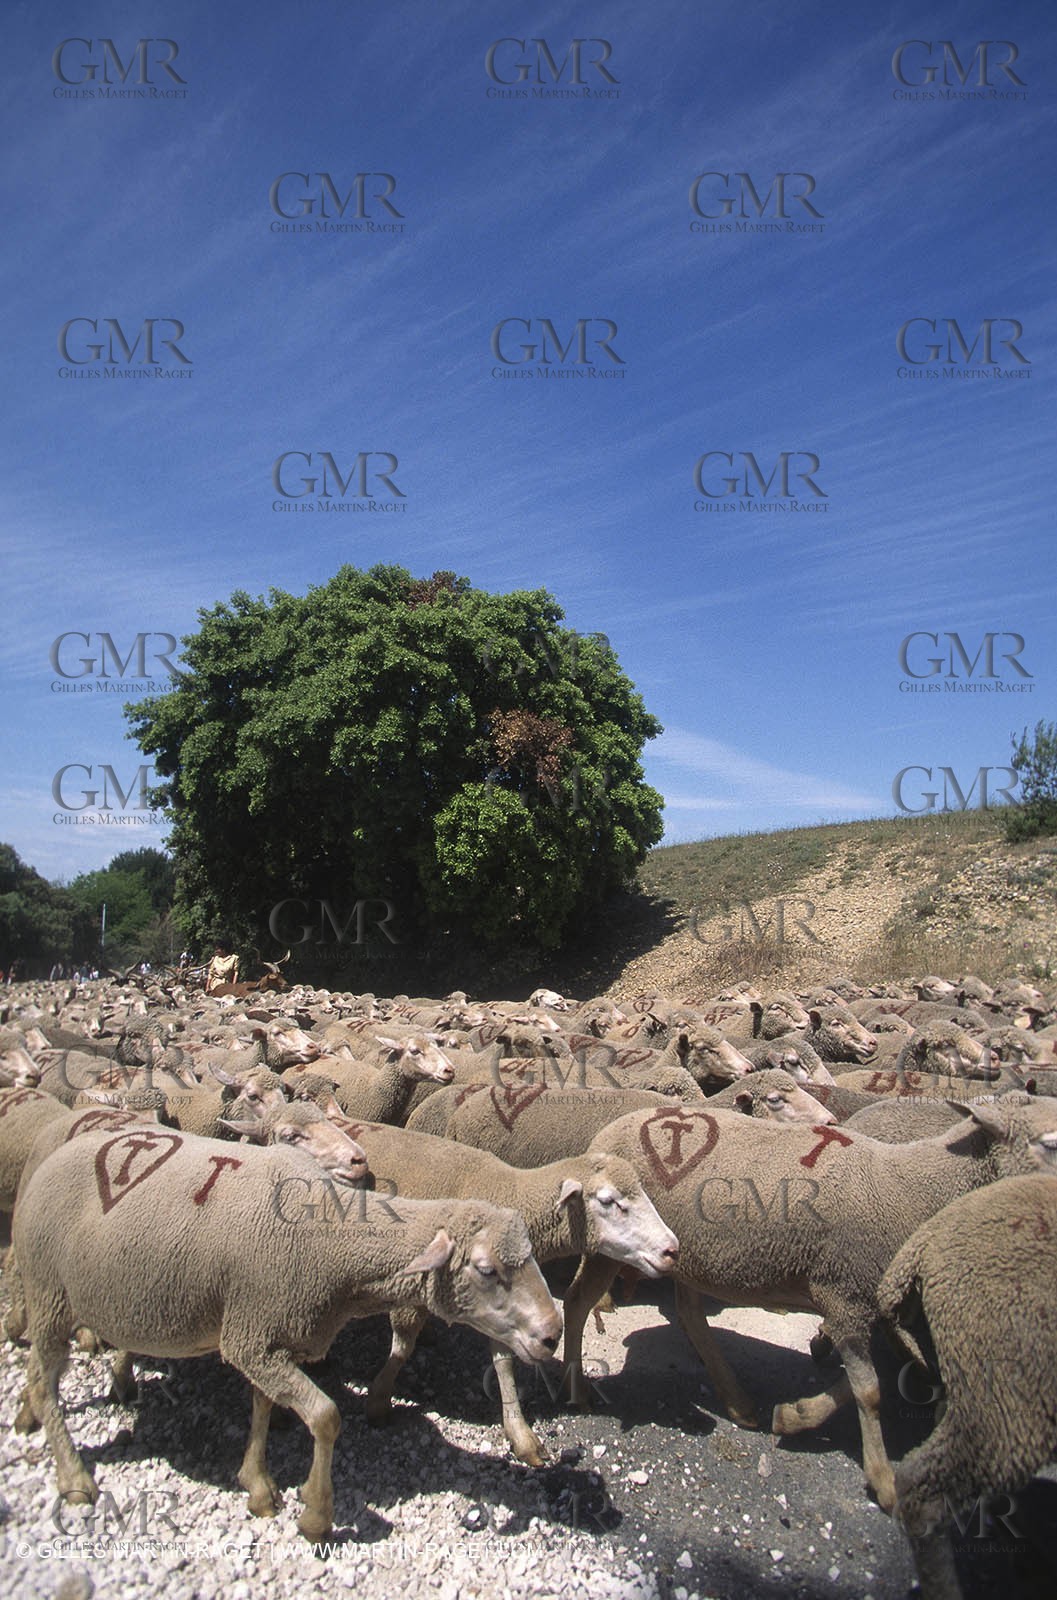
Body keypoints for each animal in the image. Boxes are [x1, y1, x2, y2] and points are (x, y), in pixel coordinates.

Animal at [13, 1125, 562, 1540]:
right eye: (487, 1270)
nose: (552, 1333)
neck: (334, 1243)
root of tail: (53, 1155)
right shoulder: (250, 1337)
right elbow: (325, 1417)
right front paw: (316, 1516)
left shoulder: (269, 1333)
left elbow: (262, 1405)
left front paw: (257, 1485)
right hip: (48, 1292)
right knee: (43, 1380)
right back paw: (73, 1475)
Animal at [322, 1117, 677, 1463]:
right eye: (608, 1201)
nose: (671, 1250)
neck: (506, 1192)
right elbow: (403, 1345)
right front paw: (379, 1401)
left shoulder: (500, 1301)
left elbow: (504, 1361)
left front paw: (521, 1435)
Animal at [557, 1092, 1057, 1511]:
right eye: (1049, 1143)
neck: (910, 1190)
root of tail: (602, 1138)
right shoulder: (845, 1293)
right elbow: (870, 1390)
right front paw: (883, 1480)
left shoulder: (862, 1301)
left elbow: (874, 1379)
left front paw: (795, 1415)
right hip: (613, 1245)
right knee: (578, 1302)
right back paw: (578, 1388)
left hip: (684, 1255)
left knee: (690, 1316)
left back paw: (739, 1403)